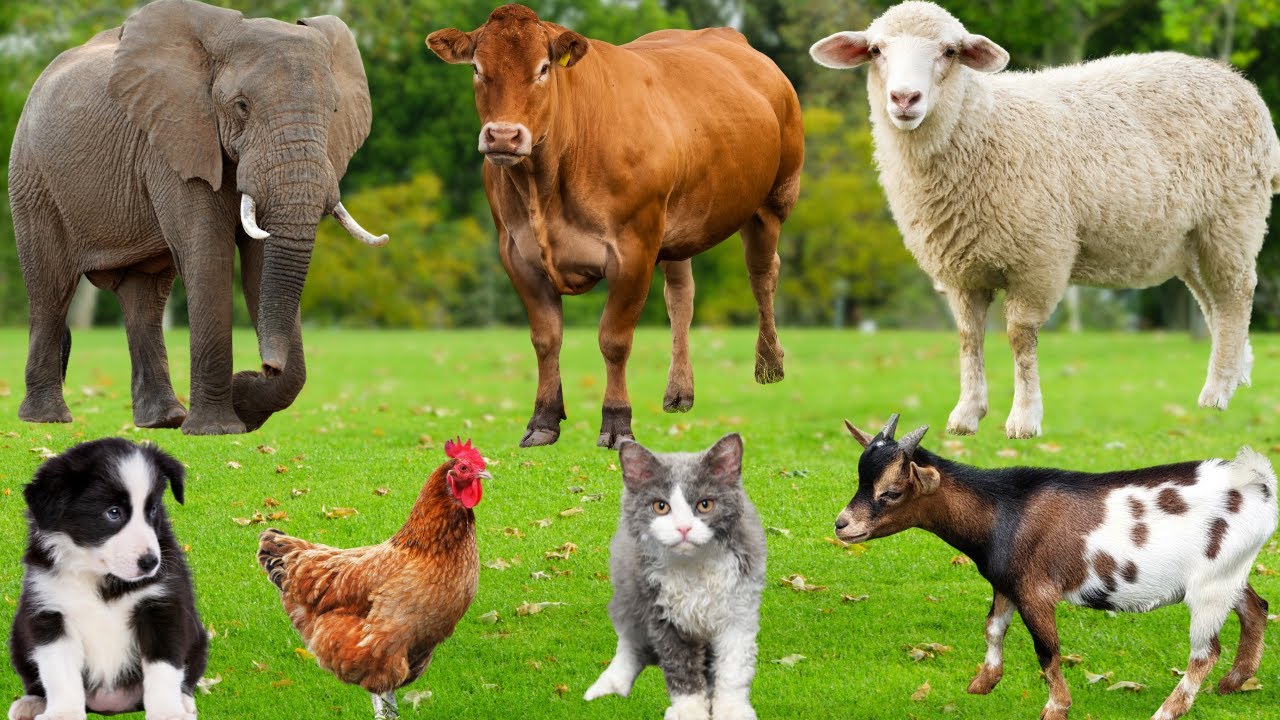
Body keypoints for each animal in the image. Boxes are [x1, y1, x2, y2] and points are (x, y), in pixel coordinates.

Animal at [427, 4, 804, 449]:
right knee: (681, 295)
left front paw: (617, 422)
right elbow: (545, 338)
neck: (546, 185)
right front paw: (543, 419)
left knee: (763, 274)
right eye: (477, 68)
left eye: (543, 69)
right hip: (675, 226)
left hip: (774, 199)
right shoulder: (517, 254)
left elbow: (614, 340)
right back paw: (680, 390)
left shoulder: (633, 249)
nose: (503, 136)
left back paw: (770, 364)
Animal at [810, 2, 1280, 439]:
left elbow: (1021, 336)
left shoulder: (1038, 258)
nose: (905, 99)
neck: (981, 127)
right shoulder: (961, 270)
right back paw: (1237, 373)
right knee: (1214, 303)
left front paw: (1024, 419)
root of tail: (1239, 82)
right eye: (875, 50)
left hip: (1232, 218)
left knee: (1236, 295)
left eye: (949, 51)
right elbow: (968, 336)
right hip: (1190, 240)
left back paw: (1217, 392)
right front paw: (967, 415)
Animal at [833, 413, 1278, 720]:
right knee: (1256, 609)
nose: (842, 525)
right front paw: (982, 683)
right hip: (1230, 574)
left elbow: (1047, 651)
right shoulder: (1006, 583)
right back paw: (1233, 684)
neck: (1003, 509)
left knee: (1206, 651)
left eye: (892, 492)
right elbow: (993, 627)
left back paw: (1168, 711)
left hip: (1210, 585)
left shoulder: (1036, 591)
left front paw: (1055, 708)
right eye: (860, 480)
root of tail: (1255, 483)